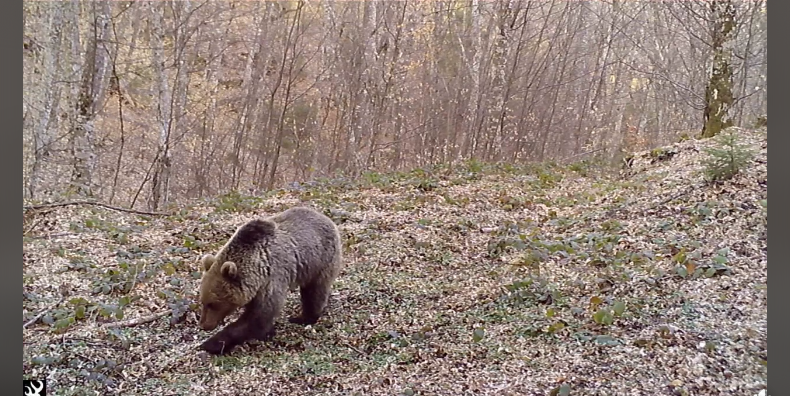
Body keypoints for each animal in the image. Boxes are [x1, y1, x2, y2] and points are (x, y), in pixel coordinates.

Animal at [196, 206, 342, 354]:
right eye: (203, 302)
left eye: (213, 304)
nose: (203, 325)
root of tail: (325, 217)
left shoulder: (272, 277)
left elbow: (260, 316)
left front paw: (211, 343)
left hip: (320, 260)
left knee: (315, 291)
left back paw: (303, 317)